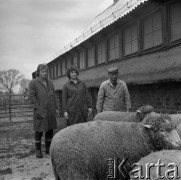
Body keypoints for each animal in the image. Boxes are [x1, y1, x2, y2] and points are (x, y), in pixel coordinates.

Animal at [49, 113, 181, 179]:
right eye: (161, 130)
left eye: (175, 128)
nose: (178, 143)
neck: (141, 136)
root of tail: (52, 148)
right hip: (75, 173)